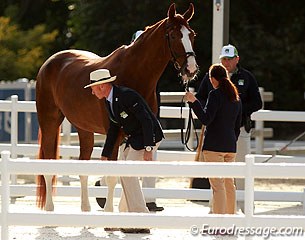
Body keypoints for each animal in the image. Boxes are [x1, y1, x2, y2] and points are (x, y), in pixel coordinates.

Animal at [36, 2, 197, 211]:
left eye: (192, 34)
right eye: (174, 35)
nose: (191, 69)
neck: (135, 73)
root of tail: (48, 63)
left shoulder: (139, 133)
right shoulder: (114, 133)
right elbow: (113, 176)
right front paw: (109, 211)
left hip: (84, 128)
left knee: (83, 164)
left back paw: (85, 209)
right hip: (49, 122)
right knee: (48, 163)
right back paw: (49, 209)